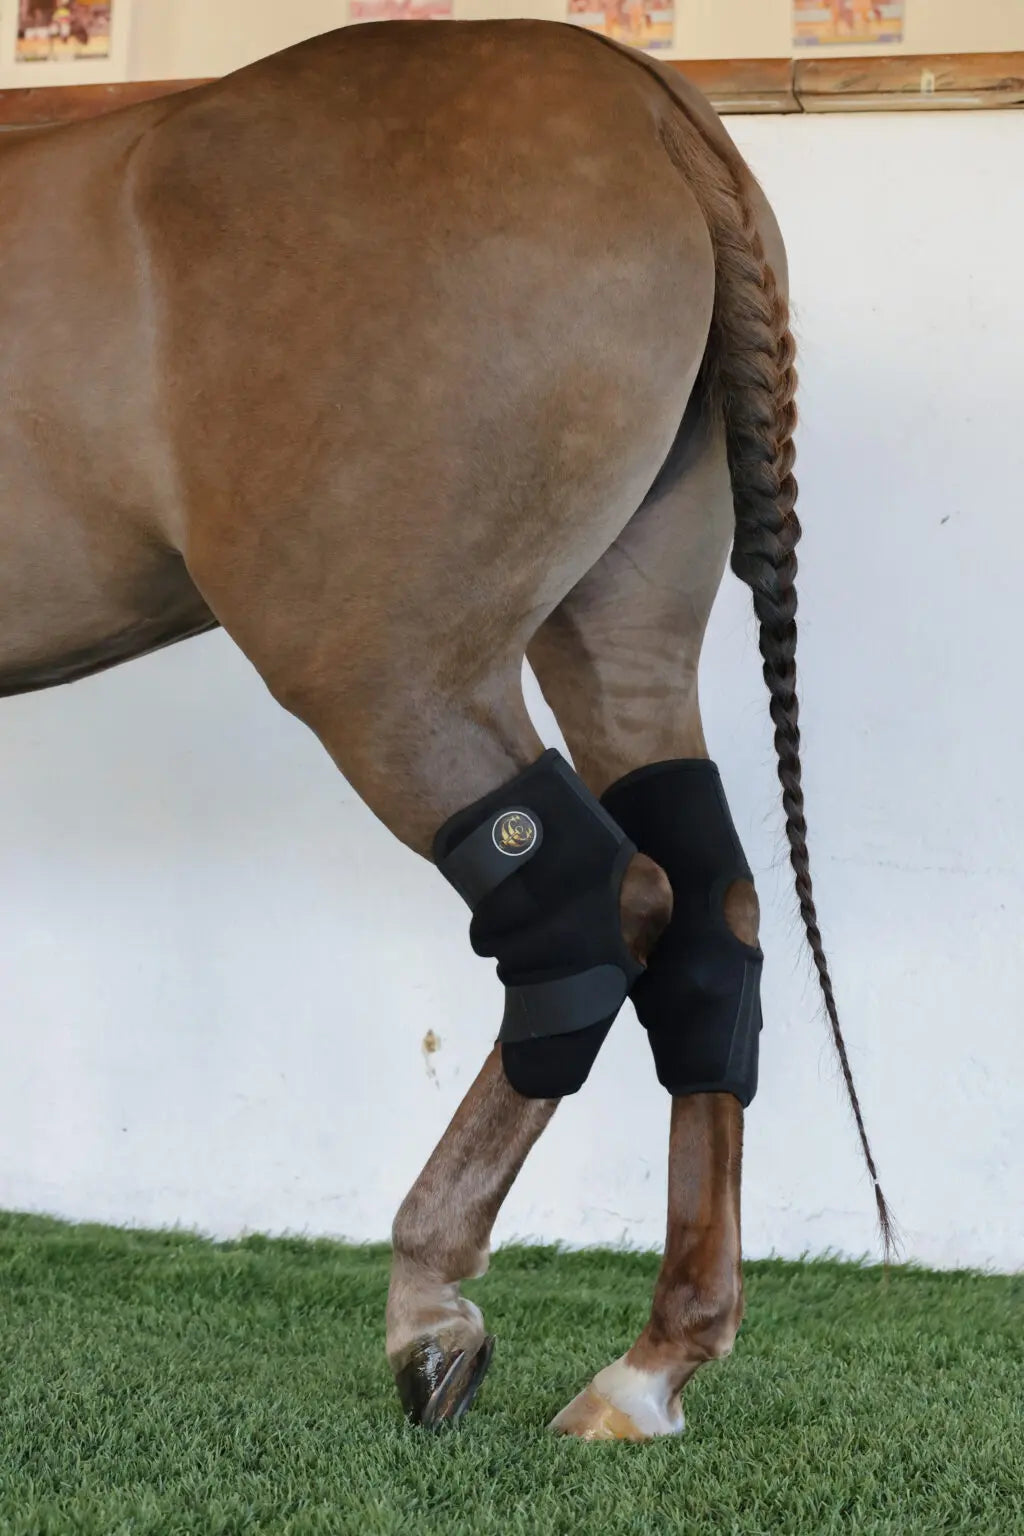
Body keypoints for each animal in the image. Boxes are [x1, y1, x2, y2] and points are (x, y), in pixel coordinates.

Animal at [0, 18, 891, 1438]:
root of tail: (645, 99)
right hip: (620, 633)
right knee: (714, 916)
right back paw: (653, 1364)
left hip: (385, 674)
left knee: (594, 904)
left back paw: (431, 1303)